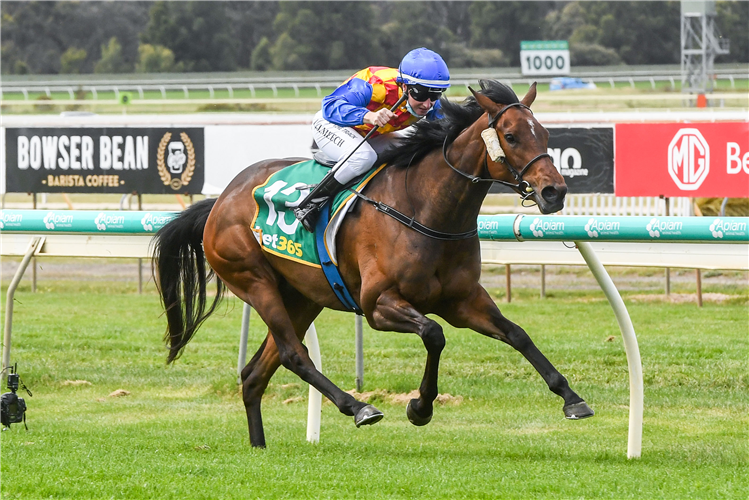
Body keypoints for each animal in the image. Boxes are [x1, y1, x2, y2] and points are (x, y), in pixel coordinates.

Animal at [153, 80, 592, 448]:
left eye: (545, 134)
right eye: (511, 136)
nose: (554, 192)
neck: (425, 207)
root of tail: (220, 200)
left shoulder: (463, 300)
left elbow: (518, 335)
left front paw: (572, 398)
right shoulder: (378, 305)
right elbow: (434, 334)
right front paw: (420, 407)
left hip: (302, 298)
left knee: (255, 374)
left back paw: (259, 446)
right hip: (255, 282)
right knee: (294, 354)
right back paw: (358, 406)